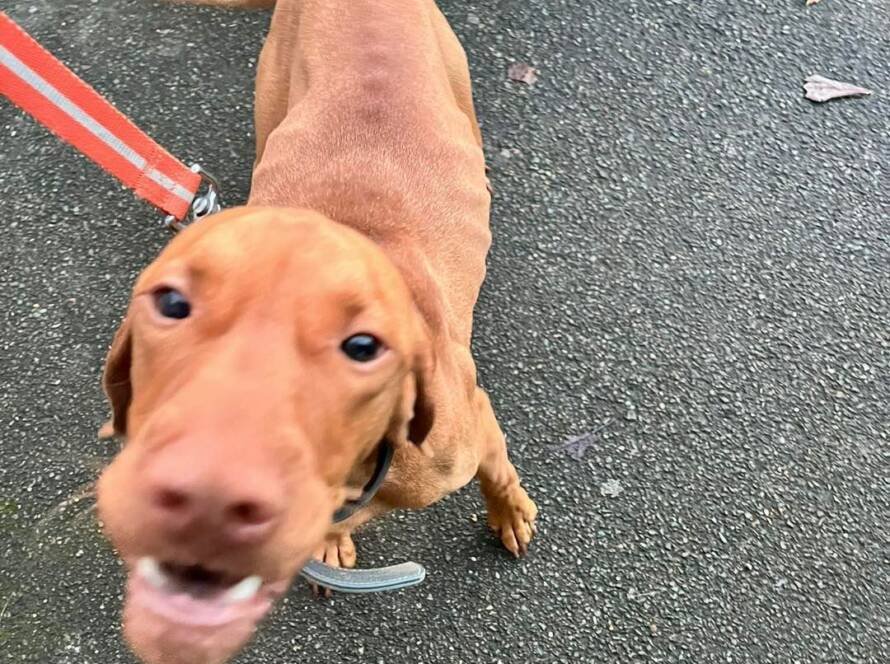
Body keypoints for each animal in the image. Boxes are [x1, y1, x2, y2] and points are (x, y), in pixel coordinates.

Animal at [95, 1, 538, 662]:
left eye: (361, 347)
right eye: (172, 305)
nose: (206, 495)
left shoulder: (474, 423)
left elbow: (499, 471)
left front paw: (509, 514)